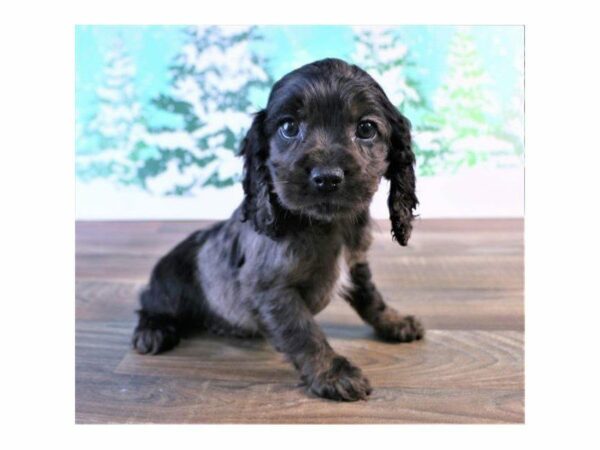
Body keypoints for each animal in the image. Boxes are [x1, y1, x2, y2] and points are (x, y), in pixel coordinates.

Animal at [132, 57, 422, 400]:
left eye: (366, 128)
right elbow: (304, 331)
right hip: (171, 283)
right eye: (288, 127)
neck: (325, 225)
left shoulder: (356, 262)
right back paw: (153, 330)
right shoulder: (271, 288)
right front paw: (334, 373)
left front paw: (395, 321)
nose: (327, 178)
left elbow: (370, 298)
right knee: (150, 302)